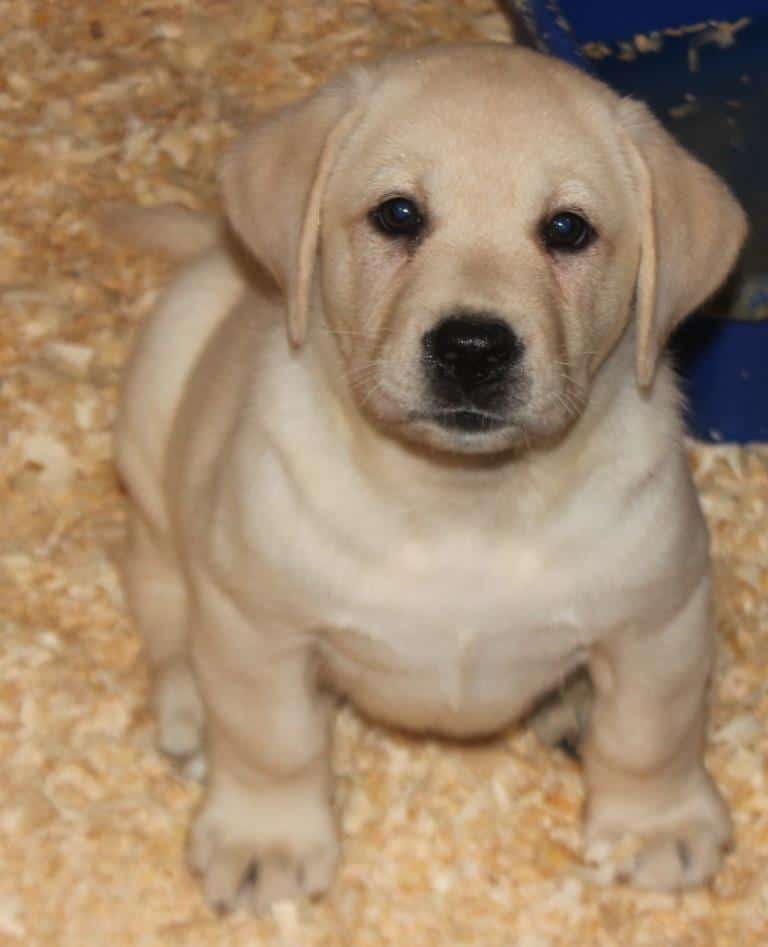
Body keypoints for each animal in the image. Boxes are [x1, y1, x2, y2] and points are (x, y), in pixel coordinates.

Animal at [114, 42, 744, 912]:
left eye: (567, 229)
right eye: (399, 215)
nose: (473, 347)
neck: (462, 501)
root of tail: (219, 252)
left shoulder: (661, 616)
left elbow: (654, 732)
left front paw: (655, 825)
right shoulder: (257, 625)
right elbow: (270, 738)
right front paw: (264, 839)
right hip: (158, 422)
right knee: (163, 593)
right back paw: (185, 708)